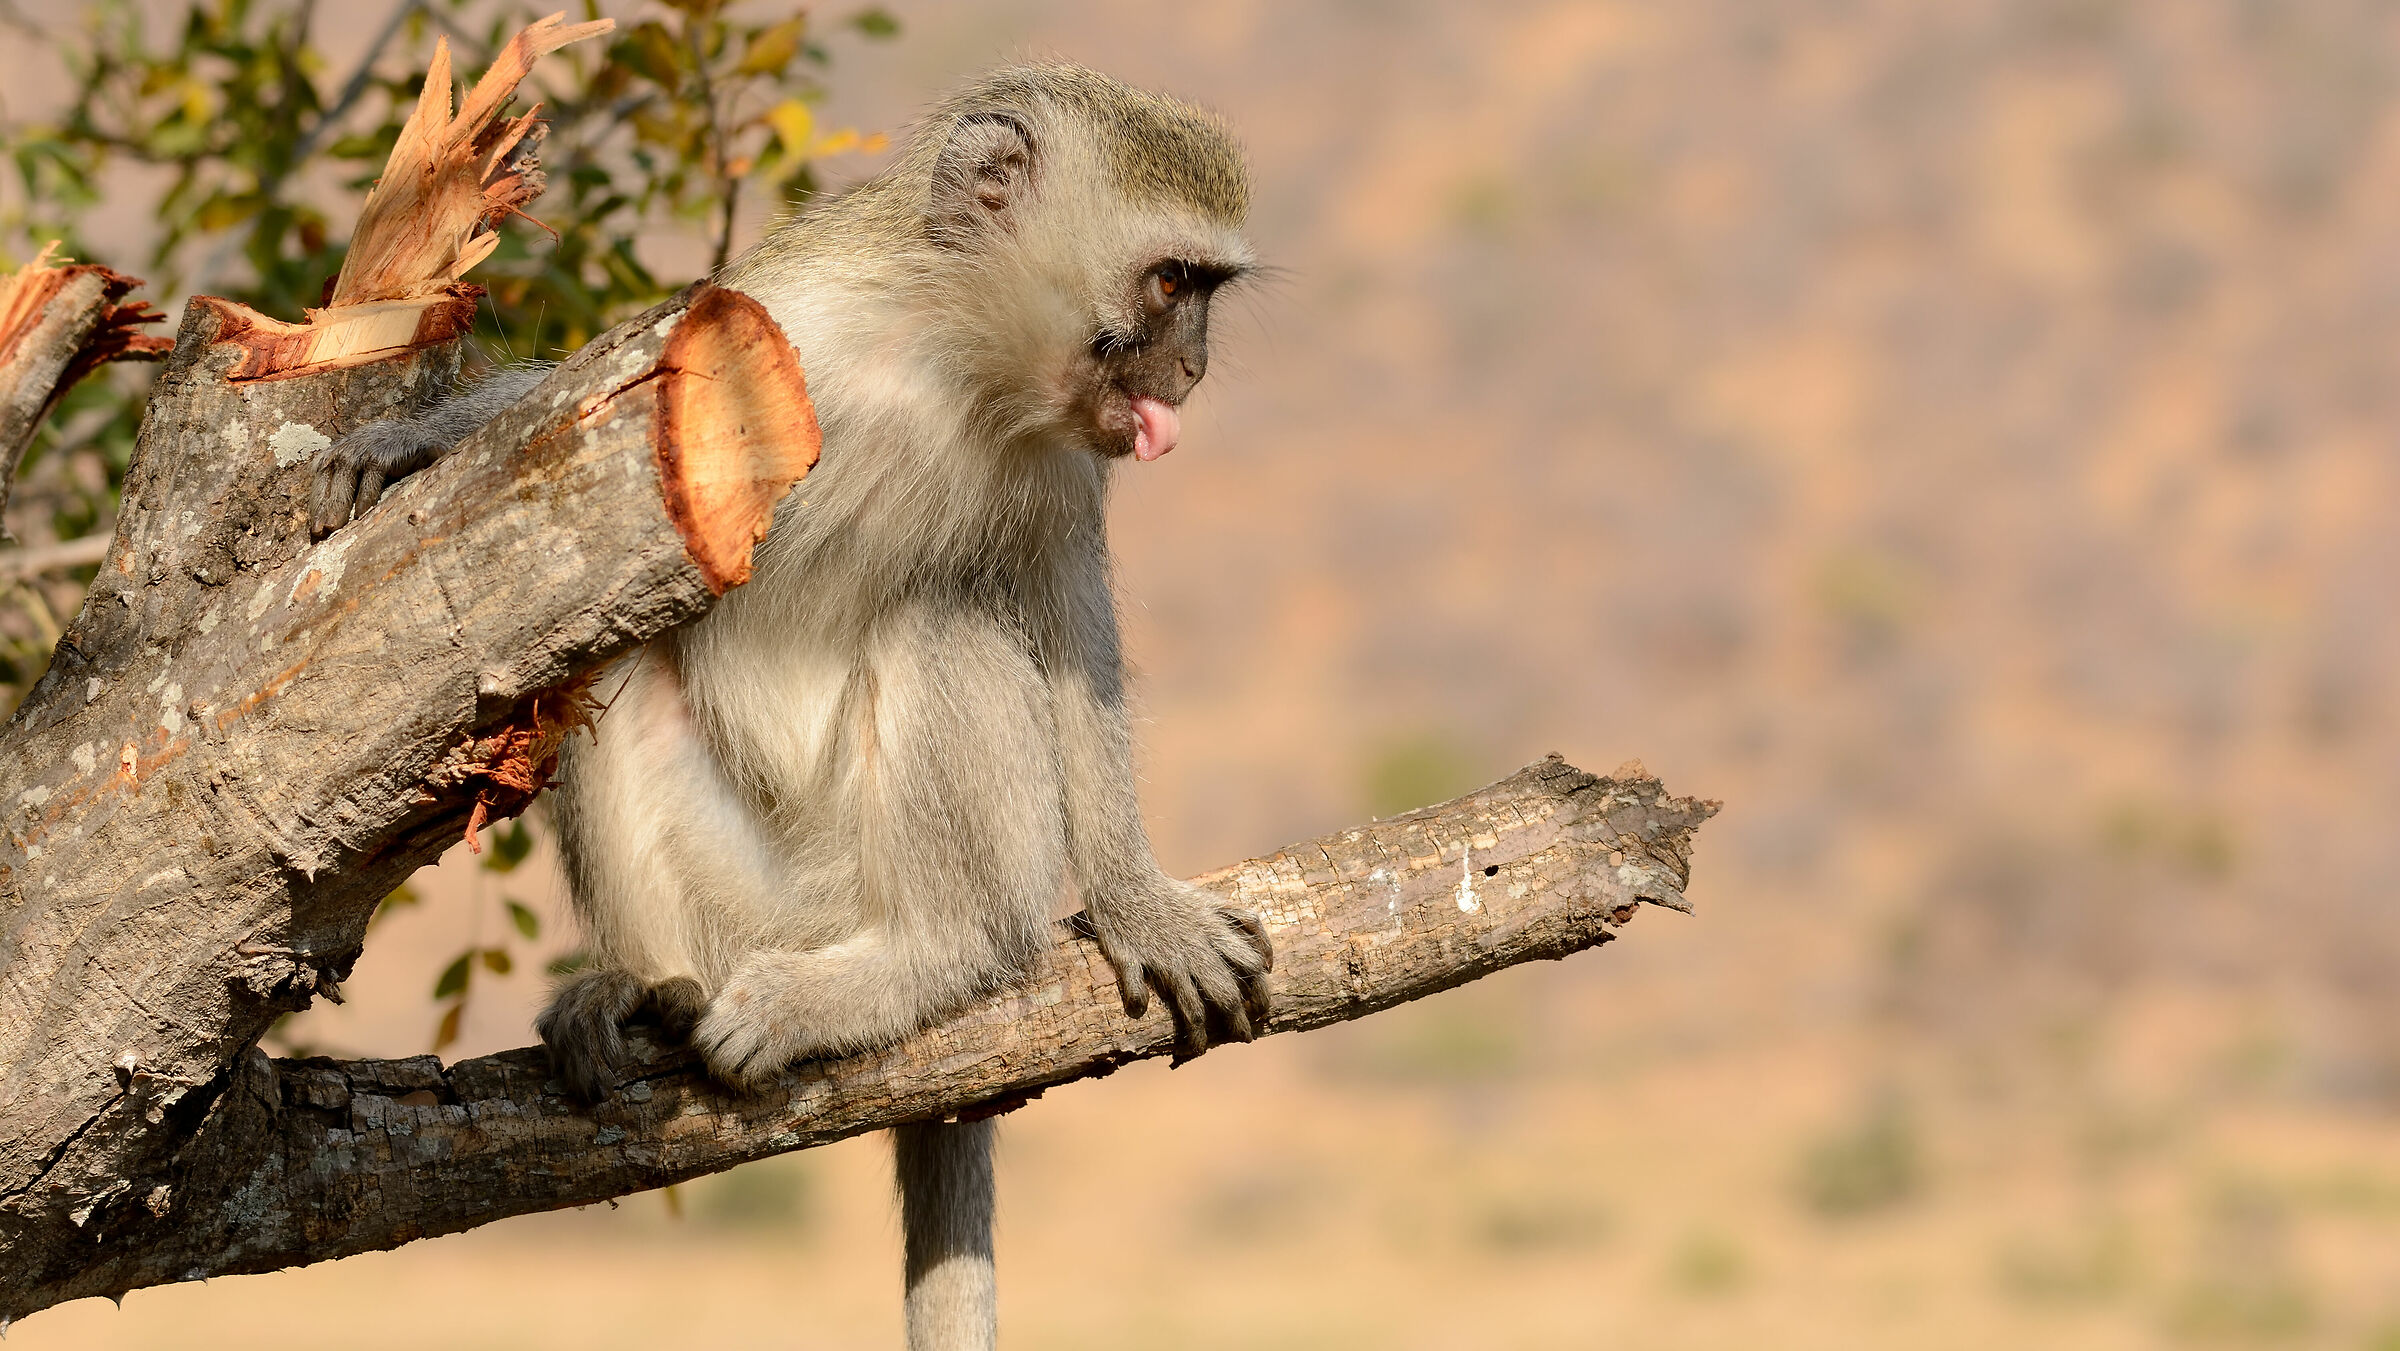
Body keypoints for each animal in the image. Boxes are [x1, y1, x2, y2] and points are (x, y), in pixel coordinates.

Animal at [309, 64, 1272, 1351]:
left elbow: (1073, 636)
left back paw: (923, 959)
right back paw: (649, 987)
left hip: (937, 874)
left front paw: (1136, 900)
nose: (1194, 373)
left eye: (1205, 290)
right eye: (1171, 284)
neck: (944, 361)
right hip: (752, 901)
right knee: (616, 662)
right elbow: (590, 400)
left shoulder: (1063, 462)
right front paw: (411, 438)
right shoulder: (777, 322)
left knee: (936, 625)